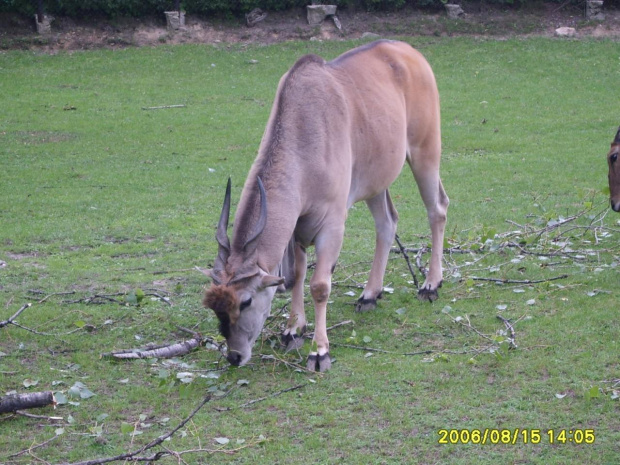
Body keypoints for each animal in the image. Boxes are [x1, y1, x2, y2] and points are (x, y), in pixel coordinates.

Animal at [203, 41, 450, 372]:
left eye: (246, 301)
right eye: (215, 306)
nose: (234, 356)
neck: (303, 132)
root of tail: (409, 51)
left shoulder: (332, 224)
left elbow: (320, 286)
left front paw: (320, 352)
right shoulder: (298, 226)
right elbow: (297, 276)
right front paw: (293, 329)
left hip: (425, 153)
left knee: (437, 208)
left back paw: (430, 285)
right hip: (375, 181)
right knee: (387, 222)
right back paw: (369, 295)